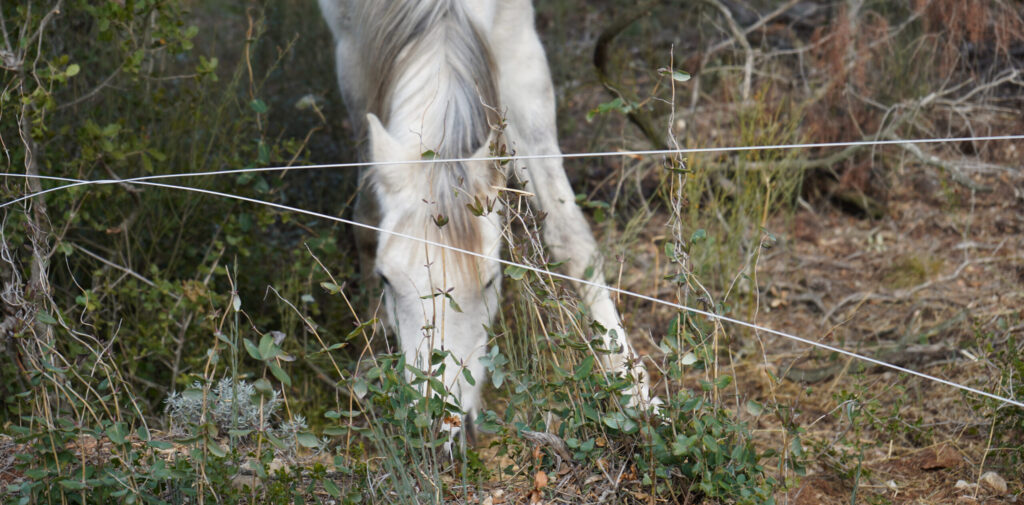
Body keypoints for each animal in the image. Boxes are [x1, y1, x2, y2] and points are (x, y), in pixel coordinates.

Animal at [318, 0, 655, 442]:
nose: (439, 425)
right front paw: (373, 339)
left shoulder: (519, 43)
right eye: (386, 280)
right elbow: (365, 219)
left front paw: (632, 385)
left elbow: (571, 234)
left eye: (492, 281)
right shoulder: (352, 56)